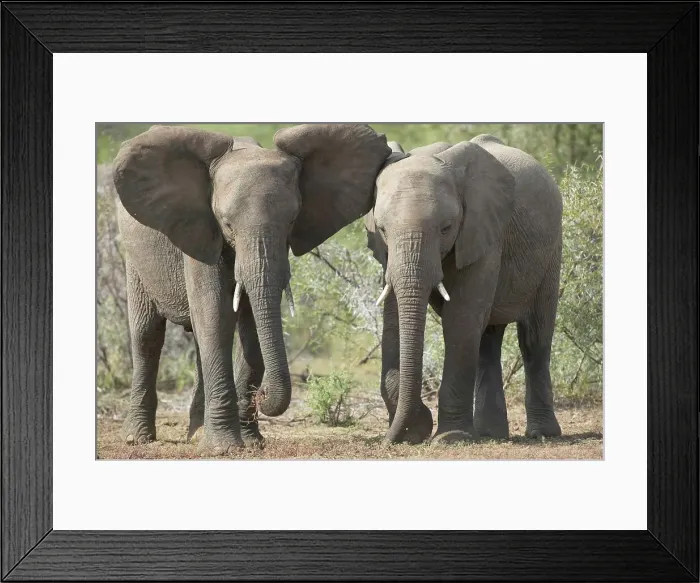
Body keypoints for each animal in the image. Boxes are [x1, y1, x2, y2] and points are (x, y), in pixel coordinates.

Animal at [112, 123, 390, 454]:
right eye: (227, 224)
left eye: (292, 221)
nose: (262, 395)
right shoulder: (200, 231)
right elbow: (214, 313)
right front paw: (224, 449)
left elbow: (251, 325)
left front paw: (251, 442)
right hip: (135, 259)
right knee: (147, 335)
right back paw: (138, 438)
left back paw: (197, 432)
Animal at [365, 135, 563, 445]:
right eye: (382, 229)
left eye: (446, 228)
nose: (393, 440)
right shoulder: (388, 254)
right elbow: (393, 319)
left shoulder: (483, 231)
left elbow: (461, 319)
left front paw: (451, 438)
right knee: (488, 341)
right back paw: (490, 434)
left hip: (552, 251)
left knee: (534, 338)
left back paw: (542, 434)